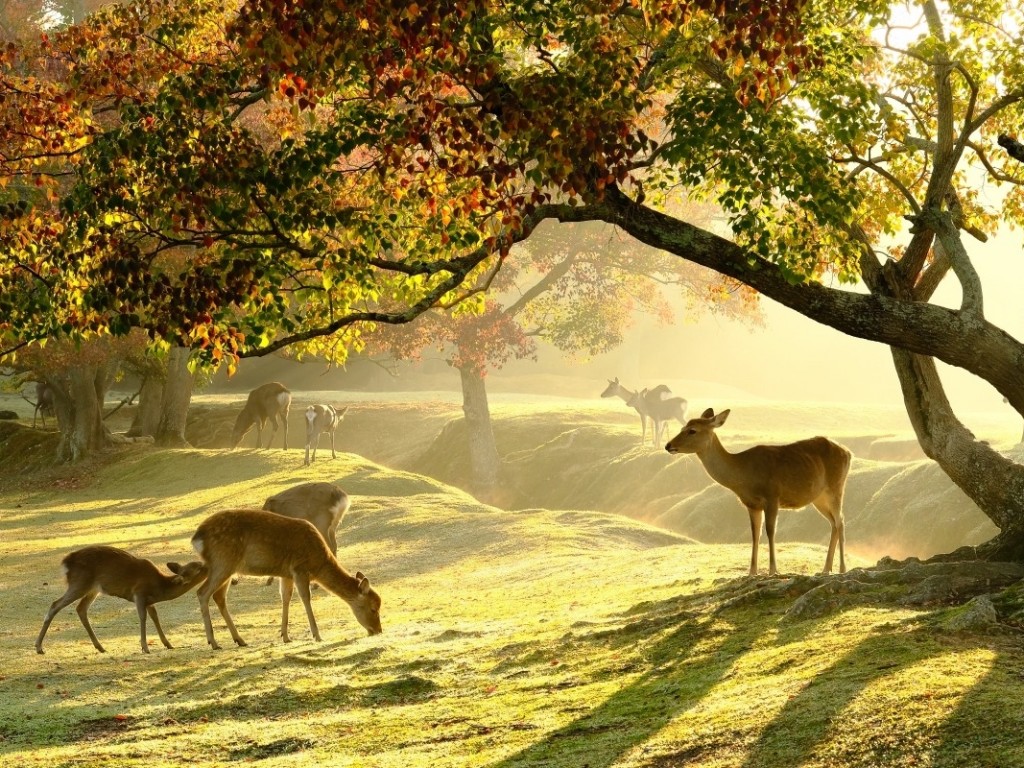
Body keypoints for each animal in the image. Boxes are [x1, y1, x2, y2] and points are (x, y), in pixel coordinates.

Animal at [35, 546, 208, 655]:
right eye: (198, 568)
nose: (208, 565)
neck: (159, 587)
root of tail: (66, 562)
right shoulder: (139, 594)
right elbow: (143, 617)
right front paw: (145, 647)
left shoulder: (149, 601)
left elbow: (155, 617)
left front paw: (168, 644)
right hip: (80, 583)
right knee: (55, 604)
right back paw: (39, 647)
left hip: (93, 588)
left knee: (81, 608)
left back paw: (100, 647)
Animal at [191, 508, 382, 649]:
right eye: (373, 609)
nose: (378, 630)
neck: (318, 564)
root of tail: (197, 539)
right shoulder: (299, 568)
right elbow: (305, 598)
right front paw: (317, 635)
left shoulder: (286, 574)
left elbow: (286, 597)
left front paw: (285, 636)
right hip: (222, 561)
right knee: (202, 592)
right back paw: (213, 642)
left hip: (228, 568)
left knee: (218, 596)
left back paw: (240, 639)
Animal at [665, 408, 851, 577]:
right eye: (682, 427)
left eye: (692, 430)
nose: (668, 445)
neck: (744, 475)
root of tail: (848, 453)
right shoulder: (751, 504)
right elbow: (755, 534)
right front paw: (752, 572)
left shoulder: (772, 496)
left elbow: (770, 530)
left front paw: (773, 570)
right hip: (819, 498)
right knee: (834, 522)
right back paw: (826, 569)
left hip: (836, 487)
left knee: (840, 521)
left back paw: (842, 569)